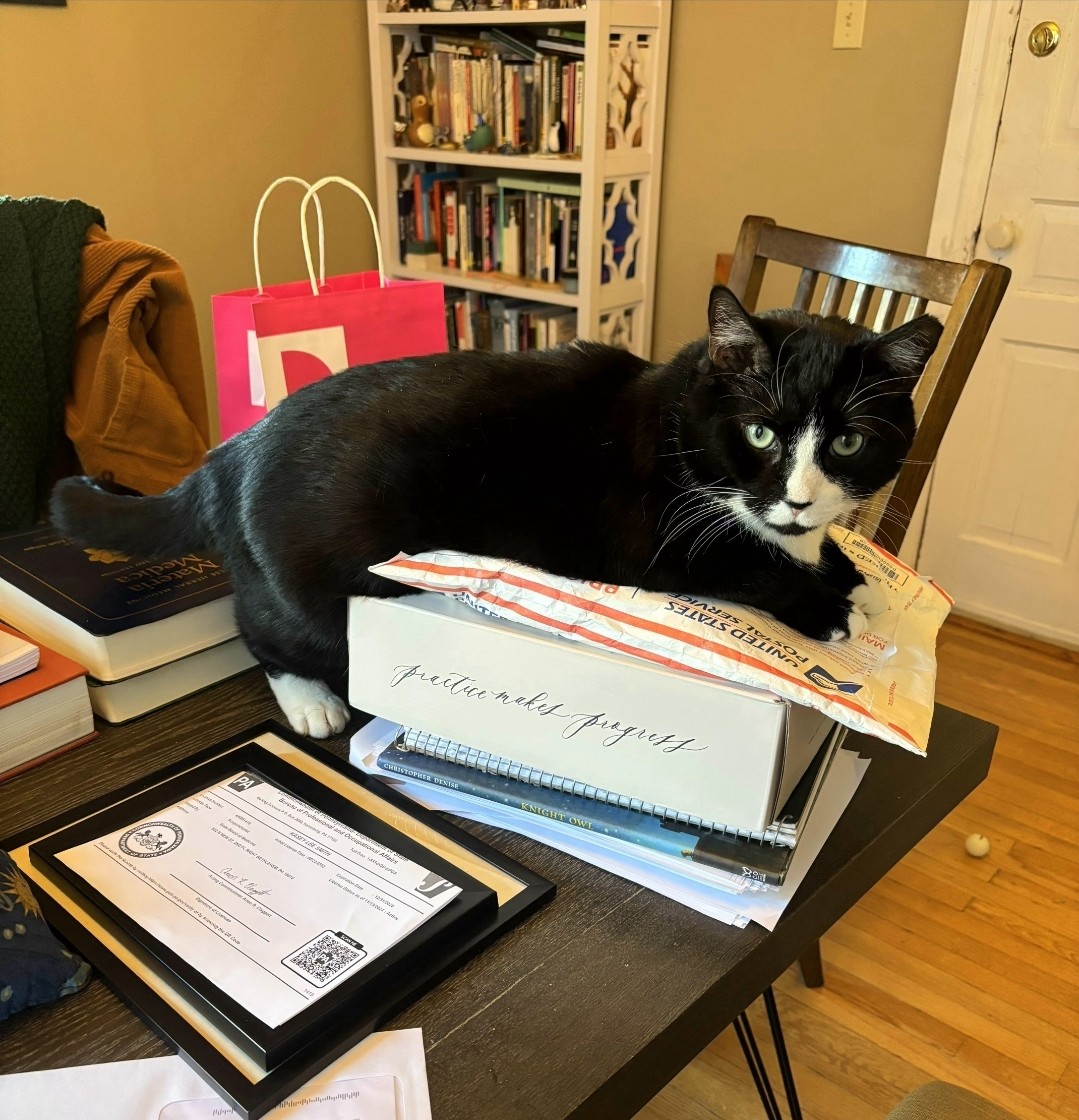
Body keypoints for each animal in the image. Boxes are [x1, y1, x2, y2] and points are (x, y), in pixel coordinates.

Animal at [50, 286, 941, 734]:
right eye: (759, 431)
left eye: (849, 442)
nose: (795, 496)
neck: (680, 413)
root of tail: (227, 454)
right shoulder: (648, 541)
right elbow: (741, 559)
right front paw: (825, 607)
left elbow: (812, 546)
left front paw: (851, 575)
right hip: (313, 585)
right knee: (263, 627)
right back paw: (309, 700)